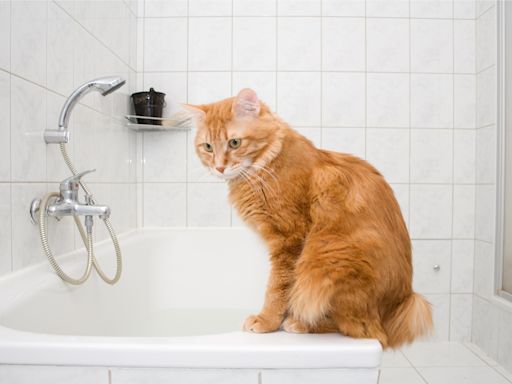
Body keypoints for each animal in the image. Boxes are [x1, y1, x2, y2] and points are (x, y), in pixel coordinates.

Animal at [188, 89, 432, 348]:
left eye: (234, 143)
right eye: (208, 147)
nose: (219, 167)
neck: (268, 164)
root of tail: (404, 299)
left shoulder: (290, 239)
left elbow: (278, 287)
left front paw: (267, 321)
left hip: (326, 259)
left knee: (364, 329)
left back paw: (300, 323)